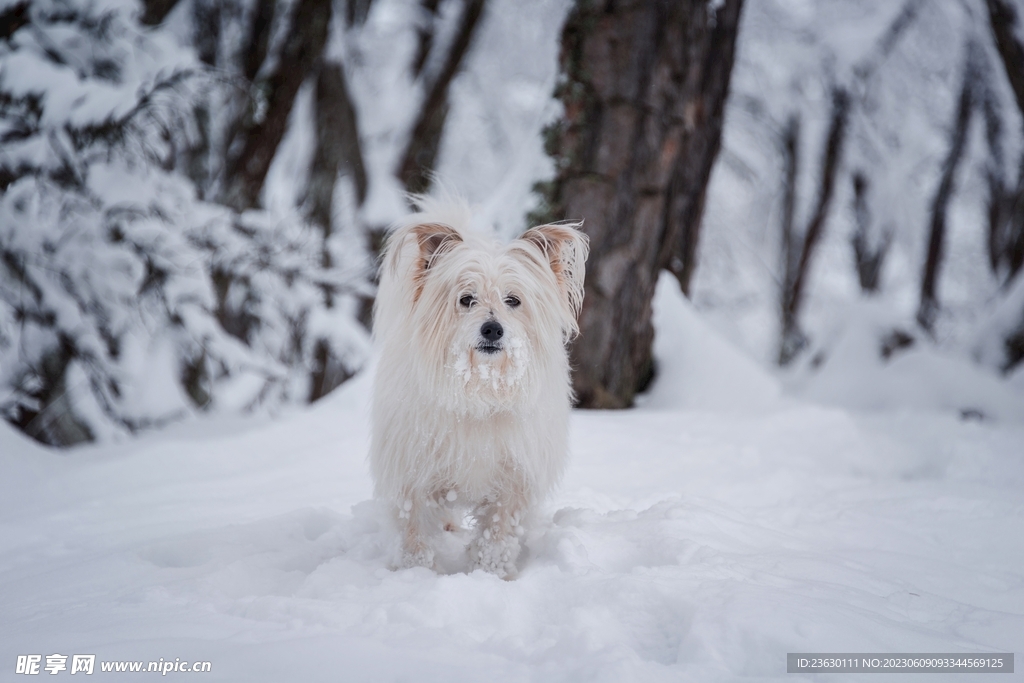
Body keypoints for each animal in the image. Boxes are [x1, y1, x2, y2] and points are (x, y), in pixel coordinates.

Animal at [372, 196, 589, 577]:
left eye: (513, 300)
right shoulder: (411, 476)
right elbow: (414, 532)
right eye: (466, 299)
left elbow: (497, 537)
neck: (479, 392)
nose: (492, 329)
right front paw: (418, 574)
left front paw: (491, 574)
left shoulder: (513, 484)